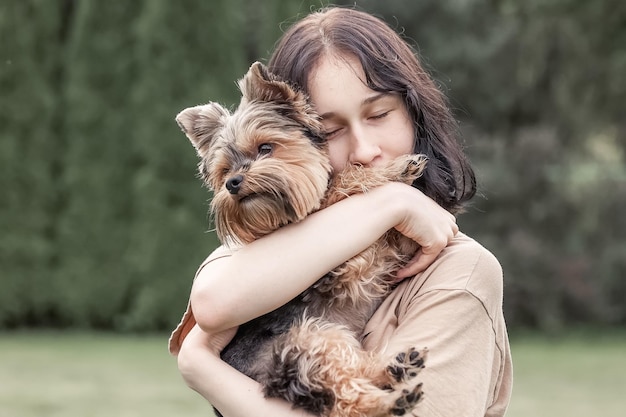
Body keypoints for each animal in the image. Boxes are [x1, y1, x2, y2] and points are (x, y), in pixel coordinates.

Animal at [176, 61, 428, 416]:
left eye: (265, 148)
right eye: (224, 170)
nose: (233, 182)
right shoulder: (342, 271)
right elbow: (344, 181)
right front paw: (394, 171)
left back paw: (396, 370)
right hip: (308, 340)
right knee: (341, 395)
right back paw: (392, 395)